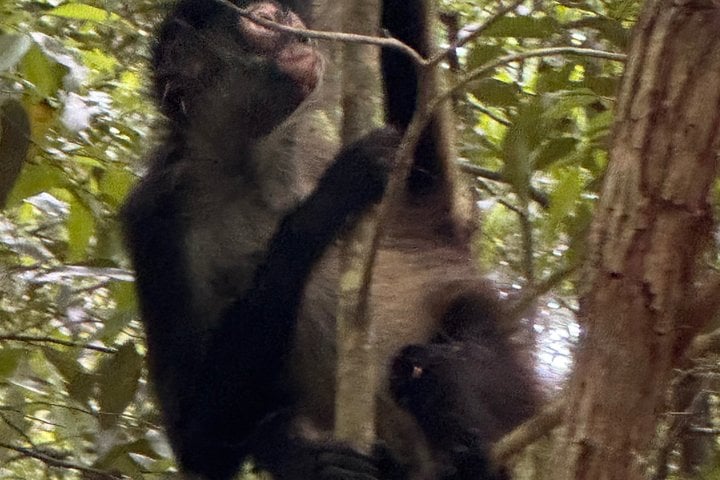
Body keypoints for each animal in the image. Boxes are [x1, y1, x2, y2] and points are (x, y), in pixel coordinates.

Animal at [121, 0, 540, 479]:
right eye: (267, 21)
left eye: (289, 16)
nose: (302, 35)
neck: (248, 164)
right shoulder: (153, 217)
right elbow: (198, 442)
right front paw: (329, 198)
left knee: (429, 363)